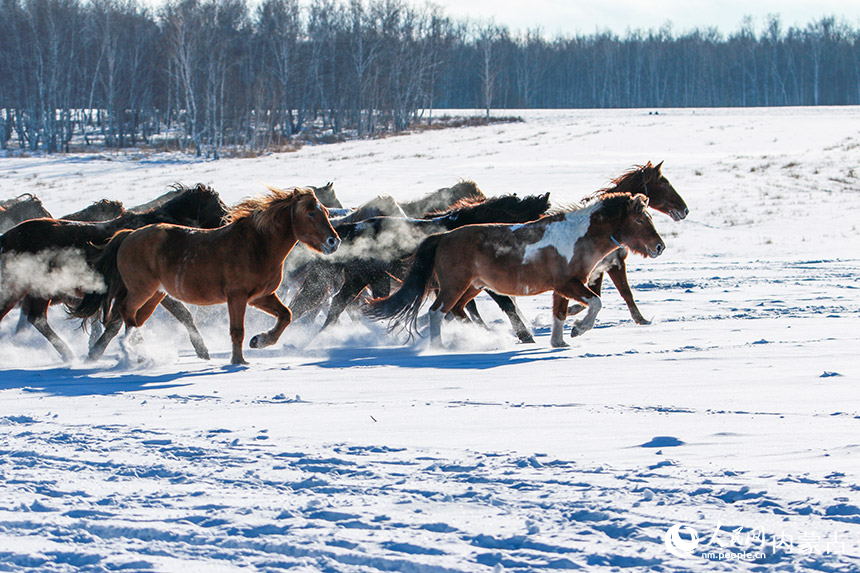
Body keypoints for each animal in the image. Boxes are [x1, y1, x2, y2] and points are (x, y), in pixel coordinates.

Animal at [0, 184, 228, 361]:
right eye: (218, 207)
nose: (227, 225)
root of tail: (6, 238)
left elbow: (180, 314)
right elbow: (121, 322)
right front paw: (98, 353)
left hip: (39, 291)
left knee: (36, 319)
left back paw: (68, 354)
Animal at [72, 187, 340, 365]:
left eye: (326, 212)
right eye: (311, 213)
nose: (333, 241)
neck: (257, 244)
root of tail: (127, 235)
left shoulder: (260, 297)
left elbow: (286, 315)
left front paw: (259, 341)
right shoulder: (237, 296)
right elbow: (237, 330)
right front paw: (238, 362)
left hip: (155, 295)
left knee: (133, 319)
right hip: (142, 290)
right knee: (125, 314)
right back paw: (134, 352)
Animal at [288, 193, 551, 342]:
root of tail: (350, 228)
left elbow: (469, 310)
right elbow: (504, 305)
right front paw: (524, 336)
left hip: (371, 280)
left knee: (341, 306)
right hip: (362, 279)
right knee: (338, 306)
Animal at [366, 192, 665, 347]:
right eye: (640, 219)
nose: (659, 246)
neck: (578, 237)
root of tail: (443, 236)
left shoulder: (561, 288)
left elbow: (559, 313)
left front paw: (560, 343)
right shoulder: (569, 284)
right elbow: (596, 303)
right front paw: (578, 330)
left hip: (472, 287)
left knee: (457, 310)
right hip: (455, 285)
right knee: (438, 311)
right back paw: (439, 347)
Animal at [567, 161, 687, 327]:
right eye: (664, 184)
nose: (685, 210)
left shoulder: (607, 265)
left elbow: (611, 292)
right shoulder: (611, 264)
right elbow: (617, 292)